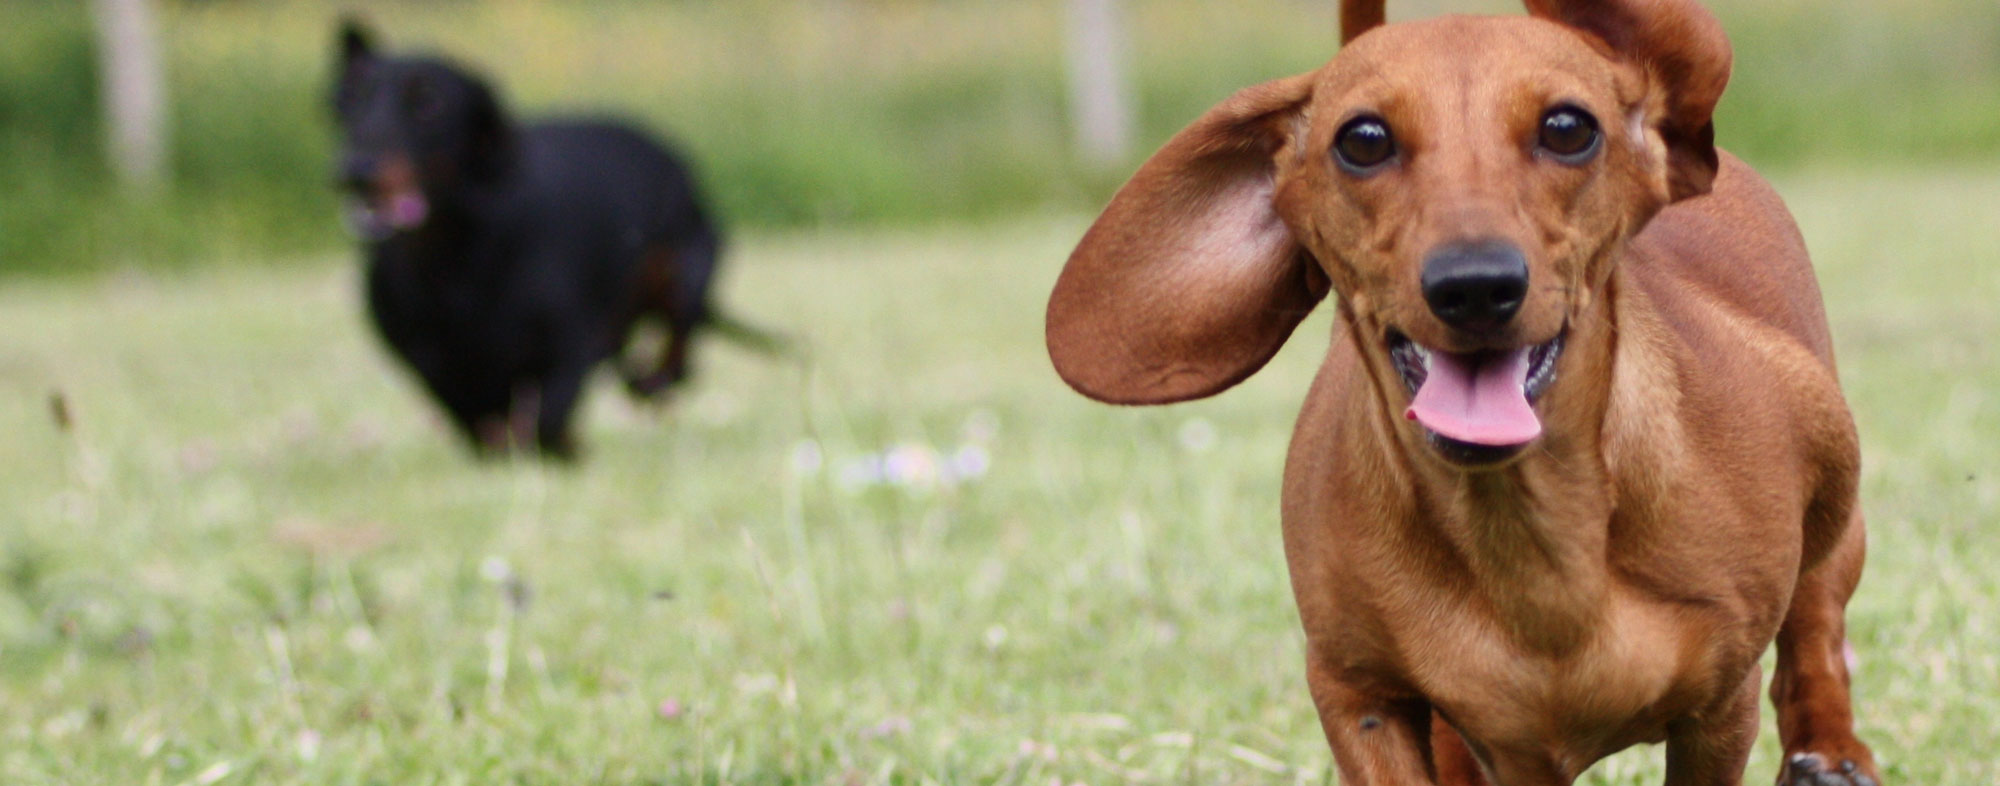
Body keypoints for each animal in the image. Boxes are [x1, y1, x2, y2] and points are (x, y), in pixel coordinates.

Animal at [332, 21, 748, 456]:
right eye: (352, 100)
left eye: (430, 104)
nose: (354, 171)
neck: (456, 263)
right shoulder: (436, 370)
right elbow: (482, 426)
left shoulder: (568, 349)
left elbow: (546, 421)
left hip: (684, 268)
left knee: (678, 352)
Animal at [1048, 3, 1872, 780]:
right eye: (1364, 139)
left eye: (1568, 128)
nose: (1475, 285)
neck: (1530, 546)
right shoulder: (1358, 694)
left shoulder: (1718, 708)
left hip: (1837, 506)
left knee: (1817, 630)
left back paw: (1832, 752)